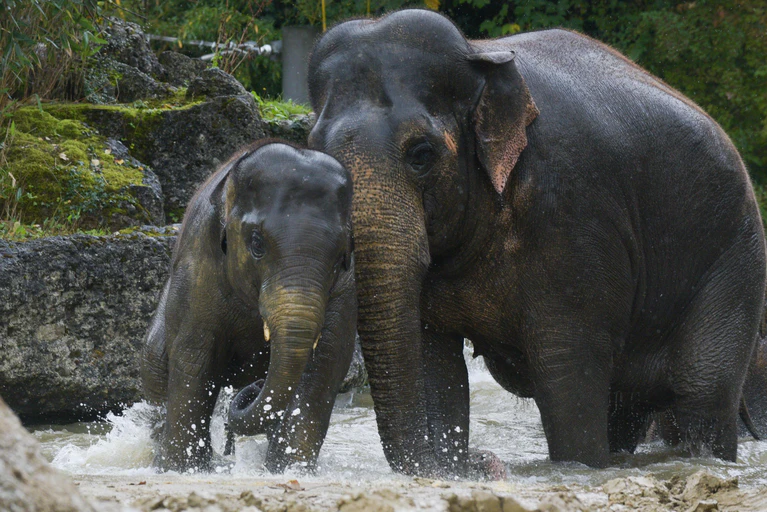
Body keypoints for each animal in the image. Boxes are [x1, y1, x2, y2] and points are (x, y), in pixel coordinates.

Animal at [141, 140, 357, 473]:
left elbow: (325, 363)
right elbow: (194, 359)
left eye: (341, 256)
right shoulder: (198, 266)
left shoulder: (346, 287)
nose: (253, 386)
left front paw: (290, 469)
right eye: (257, 244)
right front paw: (180, 469)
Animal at [306, 9, 767, 477]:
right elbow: (435, 361)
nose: (480, 461)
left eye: (422, 154)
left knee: (702, 392)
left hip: (735, 258)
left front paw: (579, 469)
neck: (477, 54)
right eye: (315, 149)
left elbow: (565, 371)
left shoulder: (573, 212)